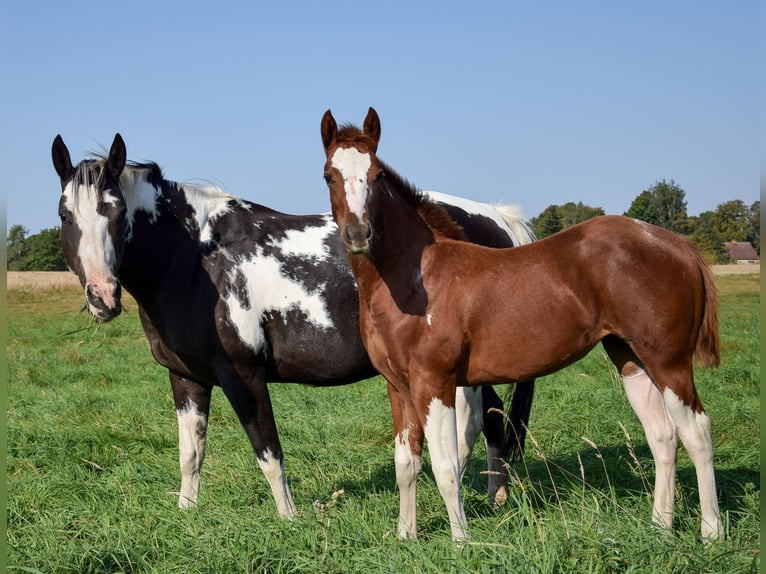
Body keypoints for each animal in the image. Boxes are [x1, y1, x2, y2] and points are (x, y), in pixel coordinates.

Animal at [51, 133, 536, 519]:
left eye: (116, 214)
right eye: (65, 215)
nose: (102, 296)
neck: (195, 262)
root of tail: (496, 218)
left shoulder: (243, 376)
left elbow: (268, 452)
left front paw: (290, 519)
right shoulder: (186, 377)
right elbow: (191, 453)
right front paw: (186, 513)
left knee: (473, 427)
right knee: (493, 421)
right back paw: (495, 498)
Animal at [320, 107, 723, 542]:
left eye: (376, 175)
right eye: (329, 175)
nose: (358, 234)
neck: (417, 277)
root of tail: (676, 244)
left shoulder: (435, 383)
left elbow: (445, 467)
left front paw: (461, 541)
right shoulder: (399, 388)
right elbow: (406, 465)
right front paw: (406, 537)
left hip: (670, 362)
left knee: (697, 431)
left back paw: (711, 532)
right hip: (630, 357)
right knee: (662, 434)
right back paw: (660, 527)